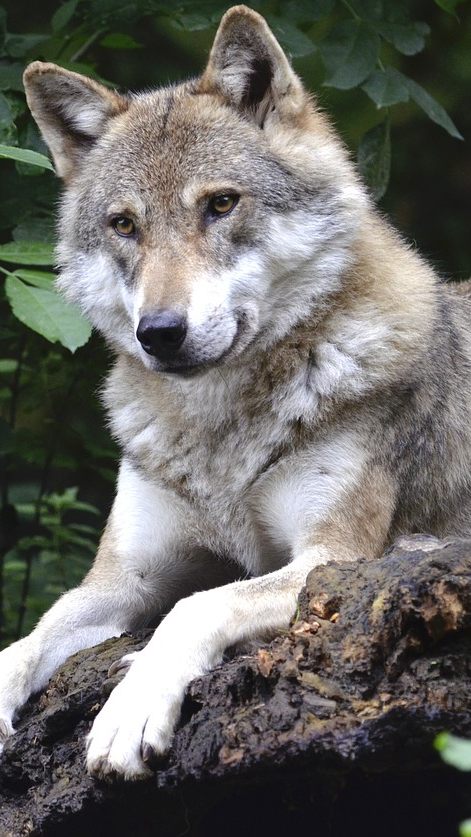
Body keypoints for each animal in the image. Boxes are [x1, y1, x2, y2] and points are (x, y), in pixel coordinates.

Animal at [0, 4, 469, 780]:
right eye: (124, 224)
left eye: (220, 205)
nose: (160, 332)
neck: (219, 433)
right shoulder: (122, 580)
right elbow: (24, 640)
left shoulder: (333, 560)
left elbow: (198, 604)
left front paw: (130, 709)